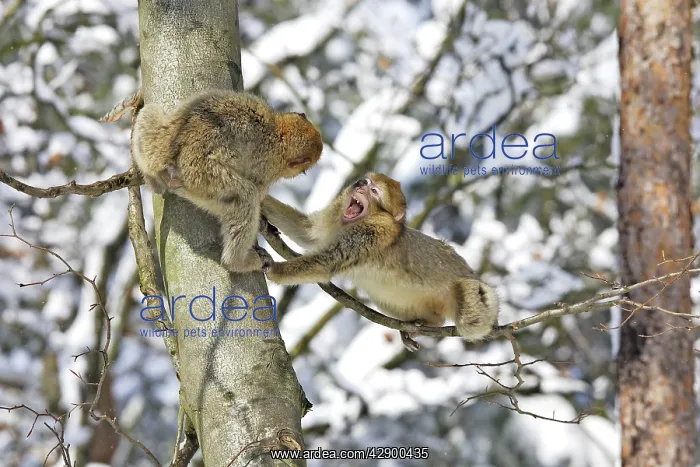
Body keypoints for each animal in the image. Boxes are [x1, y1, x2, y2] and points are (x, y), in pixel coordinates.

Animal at [130, 89, 323, 274]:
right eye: (303, 170)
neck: (279, 131)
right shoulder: (268, 167)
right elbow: (259, 190)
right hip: (201, 178)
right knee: (246, 196)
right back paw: (237, 262)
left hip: (159, 143)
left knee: (149, 111)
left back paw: (152, 180)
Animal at [259, 173, 500, 351]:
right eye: (367, 182)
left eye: (374, 191)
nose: (360, 184)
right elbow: (306, 231)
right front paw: (260, 198)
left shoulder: (372, 233)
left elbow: (326, 262)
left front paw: (273, 268)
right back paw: (425, 325)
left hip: (472, 294)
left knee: (473, 319)